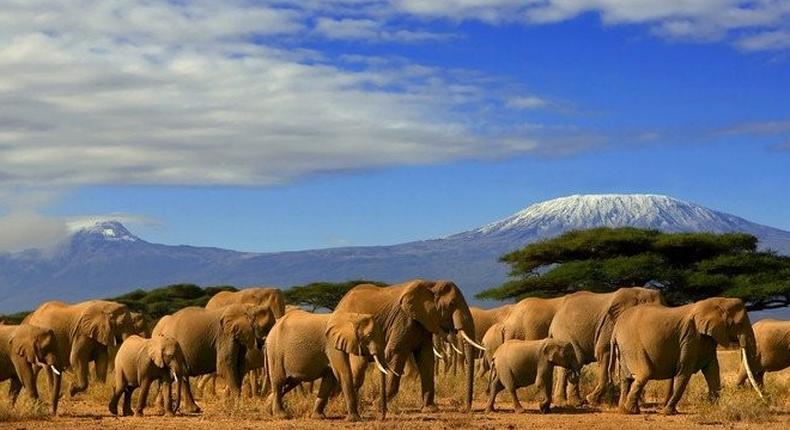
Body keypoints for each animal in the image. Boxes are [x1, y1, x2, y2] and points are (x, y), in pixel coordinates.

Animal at [334, 278, 482, 414]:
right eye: (451, 304)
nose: (465, 409)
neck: (432, 284)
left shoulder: (423, 321)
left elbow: (426, 357)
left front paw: (430, 409)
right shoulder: (404, 319)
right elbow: (395, 353)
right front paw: (377, 406)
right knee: (358, 367)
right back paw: (343, 405)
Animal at [612, 298, 768, 414]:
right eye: (740, 324)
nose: (765, 401)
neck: (716, 303)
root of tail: (616, 327)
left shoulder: (706, 339)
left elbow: (712, 370)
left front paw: (713, 407)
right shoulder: (691, 336)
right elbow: (684, 371)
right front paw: (668, 412)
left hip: (624, 348)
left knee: (626, 378)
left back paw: (623, 409)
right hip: (631, 344)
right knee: (644, 374)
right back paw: (631, 411)